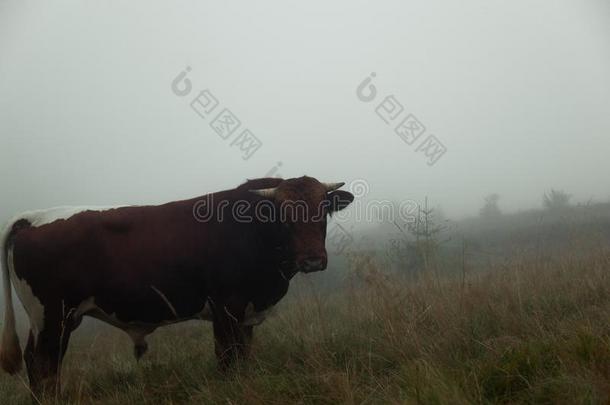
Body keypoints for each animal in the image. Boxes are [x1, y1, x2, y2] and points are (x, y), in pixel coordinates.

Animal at [0, 175, 352, 392]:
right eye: (283, 215)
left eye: (323, 209)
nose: (312, 260)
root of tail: (32, 217)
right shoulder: (227, 308)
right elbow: (227, 358)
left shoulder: (246, 313)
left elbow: (244, 355)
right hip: (53, 317)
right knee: (43, 363)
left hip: (47, 319)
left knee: (38, 363)